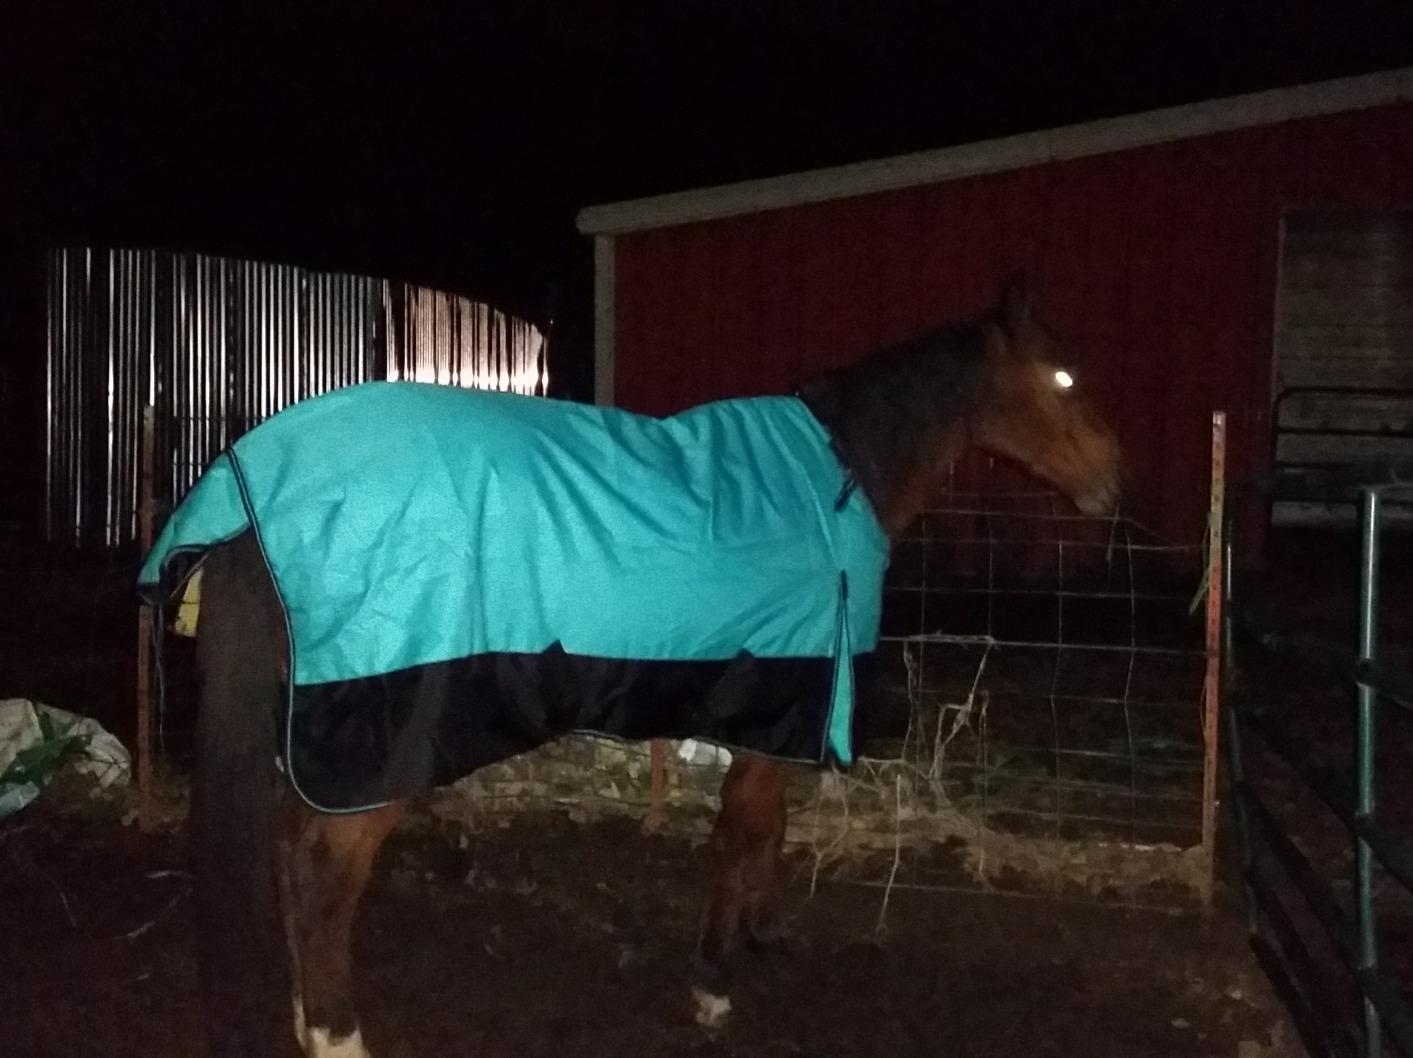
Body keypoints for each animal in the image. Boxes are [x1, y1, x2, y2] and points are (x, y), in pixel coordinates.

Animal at [154, 274, 1121, 1057]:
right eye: (1063, 379)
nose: (1114, 488)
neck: (829, 484)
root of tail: (257, 494)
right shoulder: (780, 697)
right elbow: (745, 832)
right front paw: (714, 984)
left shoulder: (765, 702)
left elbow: (765, 829)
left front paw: (762, 938)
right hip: (380, 734)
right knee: (323, 872)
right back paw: (335, 1032)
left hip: (322, 729)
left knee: (289, 850)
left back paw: (301, 1013)